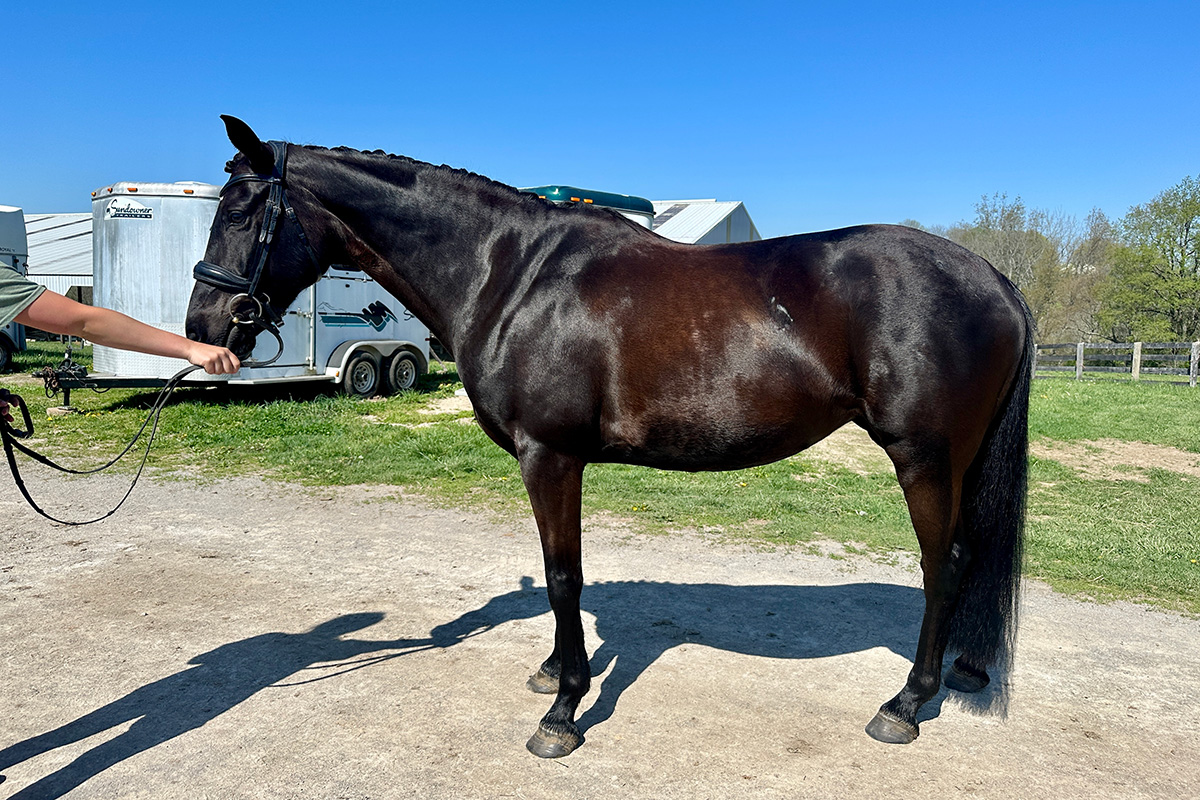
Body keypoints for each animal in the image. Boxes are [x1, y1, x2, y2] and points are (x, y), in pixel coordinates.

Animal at [186, 115, 1033, 758]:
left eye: (241, 212)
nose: (203, 326)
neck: (511, 275)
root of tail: (994, 277)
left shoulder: (551, 456)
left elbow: (564, 576)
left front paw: (561, 712)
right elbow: (558, 575)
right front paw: (553, 670)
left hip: (925, 457)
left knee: (946, 564)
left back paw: (905, 703)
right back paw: (961, 673)